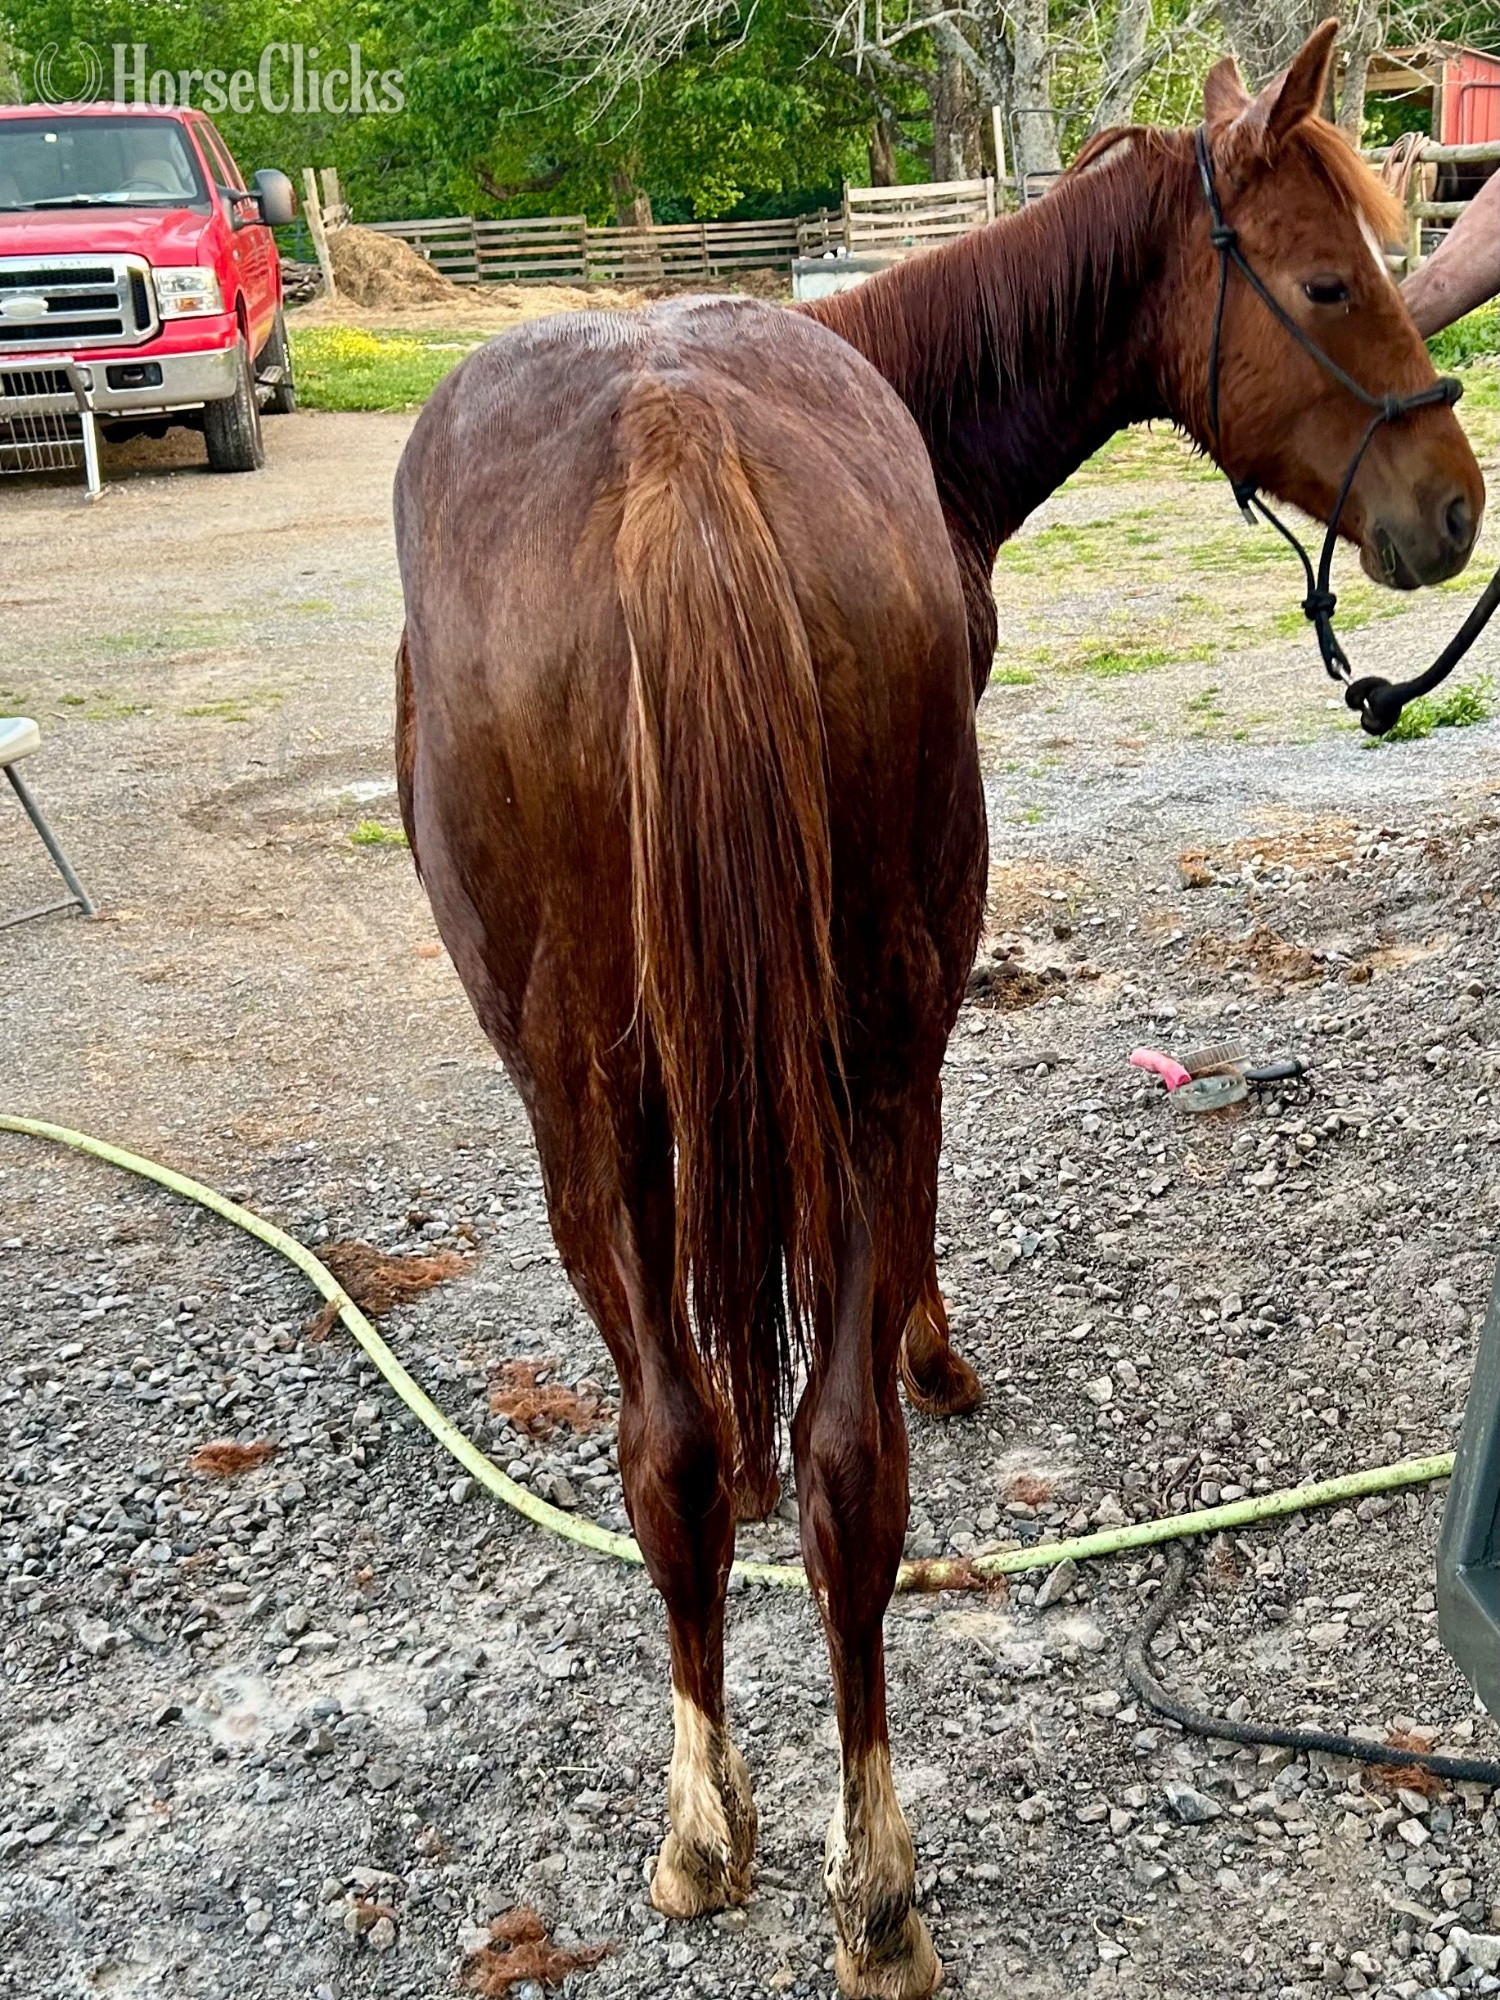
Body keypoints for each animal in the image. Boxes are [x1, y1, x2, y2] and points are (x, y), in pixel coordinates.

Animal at [393, 25, 1482, 1998]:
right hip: (845, 1041)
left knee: (702, 1459)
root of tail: (673, 447)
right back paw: (850, 1871)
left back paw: (746, 1839)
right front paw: (928, 1339)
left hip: (601, 1099)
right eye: (1326, 285)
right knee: (806, 1461)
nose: (1456, 506)